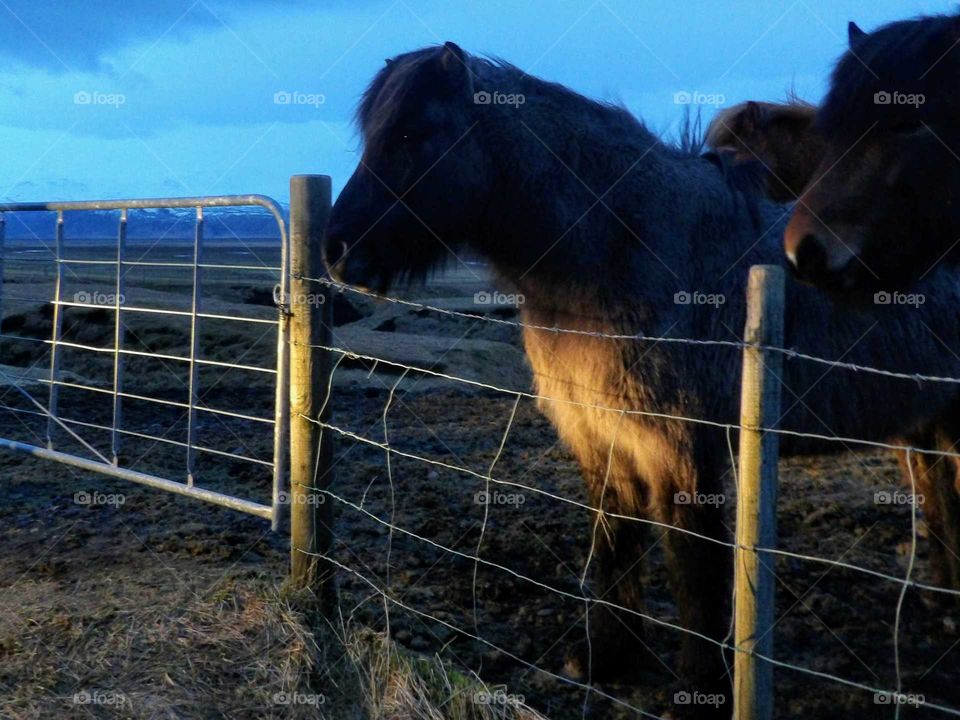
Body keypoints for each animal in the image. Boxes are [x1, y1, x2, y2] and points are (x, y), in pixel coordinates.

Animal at [322, 45, 960, 716]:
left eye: (414, 134)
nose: (337, 250)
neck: (618, 248)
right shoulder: (601, 438)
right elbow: (615, 542)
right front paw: (605, 659)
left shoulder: (681, 449)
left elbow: (692, 564)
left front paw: (700, 685)